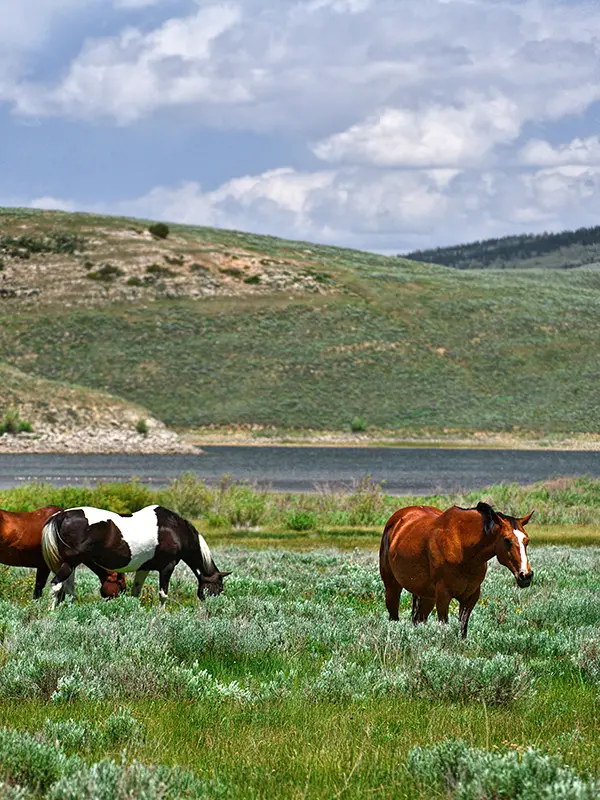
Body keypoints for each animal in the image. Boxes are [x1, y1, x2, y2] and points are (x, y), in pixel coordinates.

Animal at [41, 504, 230, 607]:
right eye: (219, 588)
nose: (210, 611)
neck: (175, 529)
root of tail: (62, 515)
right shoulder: (167, 567)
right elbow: (163, 594)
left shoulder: (144, 569)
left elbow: (136, 592)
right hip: (69, 563)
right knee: (56, 586)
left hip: (71, 564)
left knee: (68, 589)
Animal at [379, 501, 534, 638]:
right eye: (507, 540)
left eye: (527, 541)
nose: (526, 575)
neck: (463, 547)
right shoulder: (443, 596)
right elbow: (444, 625)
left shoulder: (470, 597)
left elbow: (463, 628)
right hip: (392, 587)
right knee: (394, 617)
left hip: (426, 596)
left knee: (418, 619)